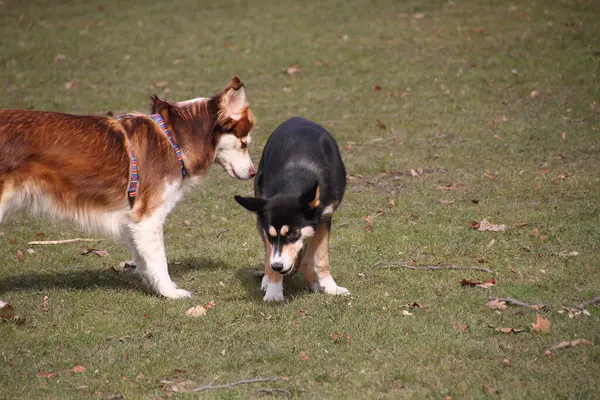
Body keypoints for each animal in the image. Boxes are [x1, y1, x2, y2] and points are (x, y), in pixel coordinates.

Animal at [0, 76, 255, 298]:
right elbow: (160, 259)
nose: (253, 173)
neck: (174, 138)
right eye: (244, 144)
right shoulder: (148, 217)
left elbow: (143, 258)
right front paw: (171, 293)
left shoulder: (134, 219)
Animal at [233, 117, 346, 302]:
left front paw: (330, 287)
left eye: (292, 234)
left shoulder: (324, 216)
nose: (277, 266)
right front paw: (273, 291)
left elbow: (321, 258)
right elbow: (270, 255)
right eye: (271, 235)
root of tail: (297, 118)